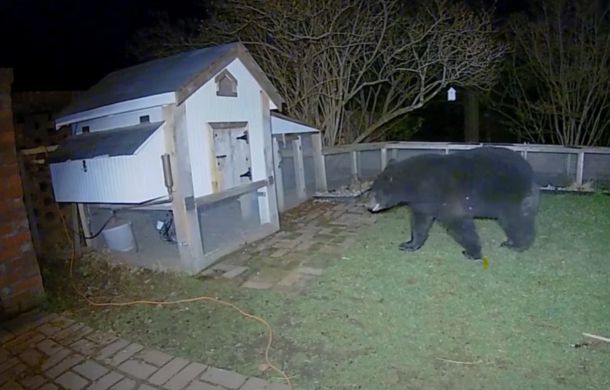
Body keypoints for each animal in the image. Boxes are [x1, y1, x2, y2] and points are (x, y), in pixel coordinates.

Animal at [364, 148, 536, 260]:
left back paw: (518, 245)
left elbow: (458, 223)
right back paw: (512, 241)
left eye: (374, 191)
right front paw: (409, 244)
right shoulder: (423, 202)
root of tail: (531, 172)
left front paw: (472, 252)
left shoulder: (441, 196)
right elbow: (420, 222)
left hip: (510, 194)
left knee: (516, 220)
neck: (415, 182)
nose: (367, 205)